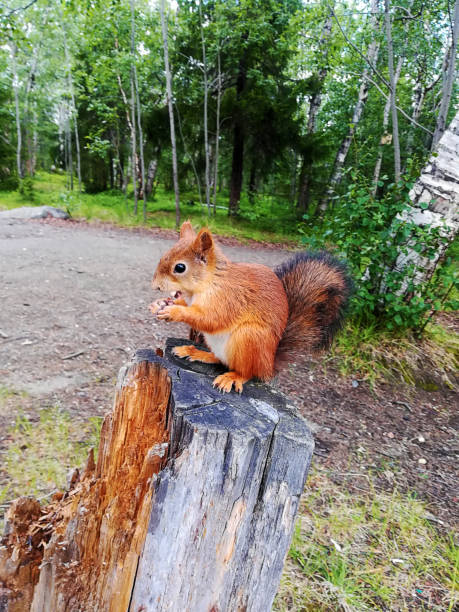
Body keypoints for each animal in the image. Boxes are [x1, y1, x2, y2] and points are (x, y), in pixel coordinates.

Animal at [151, 222, 352, 394]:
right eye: (162, 257)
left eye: (180, 267)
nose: (155, 286)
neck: (208, 282)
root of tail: (269, 365)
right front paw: (159, 304)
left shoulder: (228, 299)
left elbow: (211, 319)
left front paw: (174, 311)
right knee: (220, 359)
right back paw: (196, 352)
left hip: (249, 337)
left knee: (247, 372)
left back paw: (232, 377)